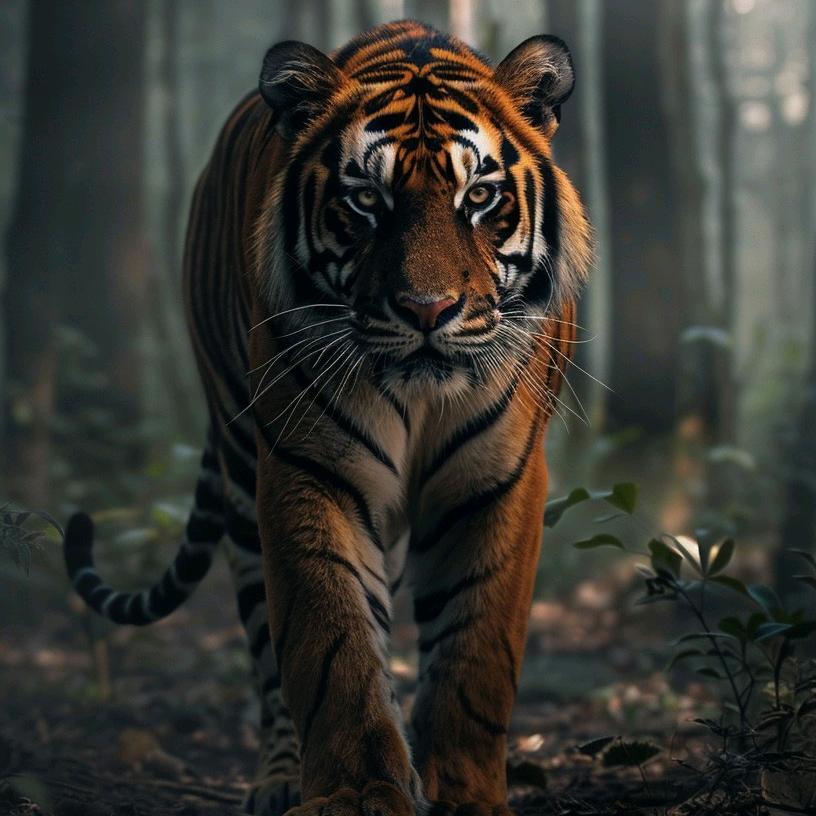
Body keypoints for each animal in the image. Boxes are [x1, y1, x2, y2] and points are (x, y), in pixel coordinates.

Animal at [63, 20, 592, 816]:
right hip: (241, 465)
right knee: (267, 648)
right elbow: (332, 642)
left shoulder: (497, 481)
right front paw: (359, 792)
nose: (428, 310)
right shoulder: (309, 470)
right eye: (367, 200)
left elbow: (474, 652)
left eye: (479, 196)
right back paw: (282, 779)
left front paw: (461, 792)